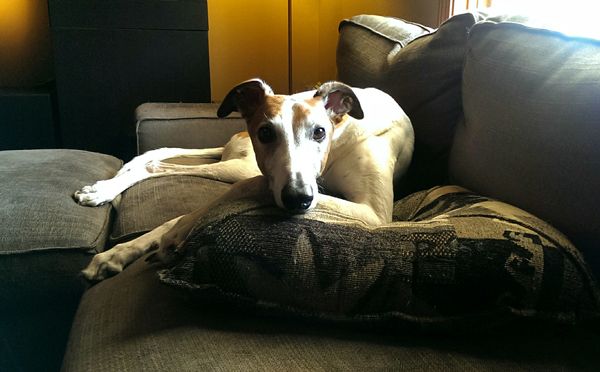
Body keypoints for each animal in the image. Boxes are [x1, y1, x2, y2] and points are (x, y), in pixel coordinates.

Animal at [76, 79, 412, 282]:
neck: (341, 133)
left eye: (319, 132)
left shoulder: (373, 213)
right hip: (242, 164)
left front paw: (170, 235)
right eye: (265, 132)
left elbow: (190, 214)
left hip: (241, 166)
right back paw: (105, 189)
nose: (297, 199)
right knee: (156, 164)